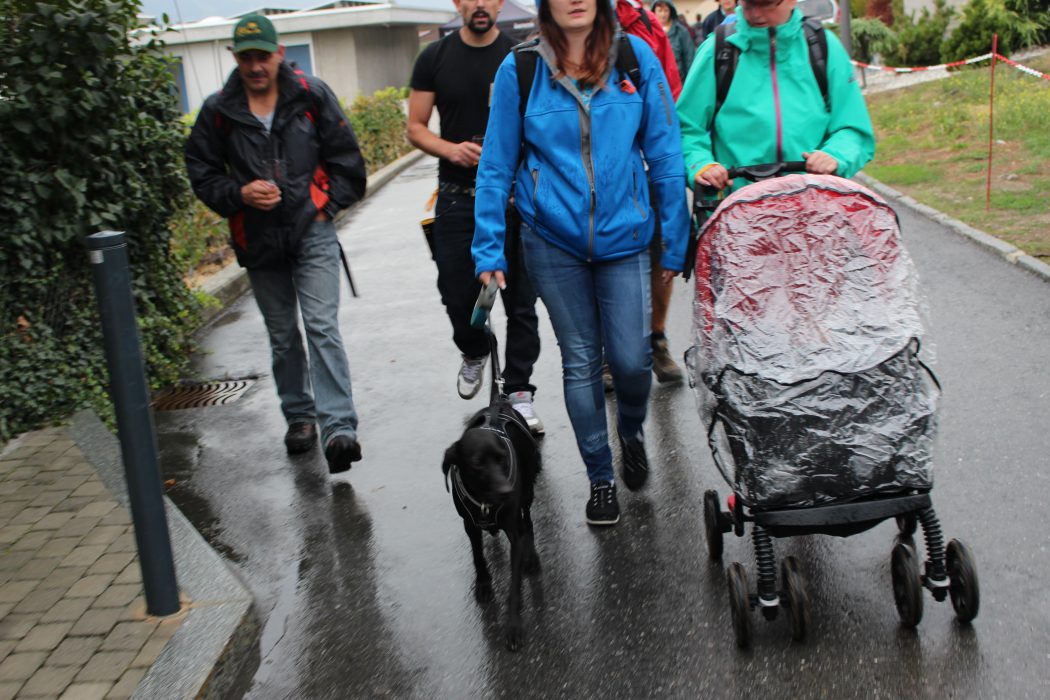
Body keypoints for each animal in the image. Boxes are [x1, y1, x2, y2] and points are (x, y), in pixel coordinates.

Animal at [443, 398, 541, 650]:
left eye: (502, 458)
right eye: (477, 464)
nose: (507, 491)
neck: (486, 501)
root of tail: (499, 403)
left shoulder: (514, 532)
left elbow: (515, 583)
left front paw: (513, 626)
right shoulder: (470, 525)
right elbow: (478, 556)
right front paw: (484, 584)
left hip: (527, 492)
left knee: (528, 523)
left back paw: (532, 557)